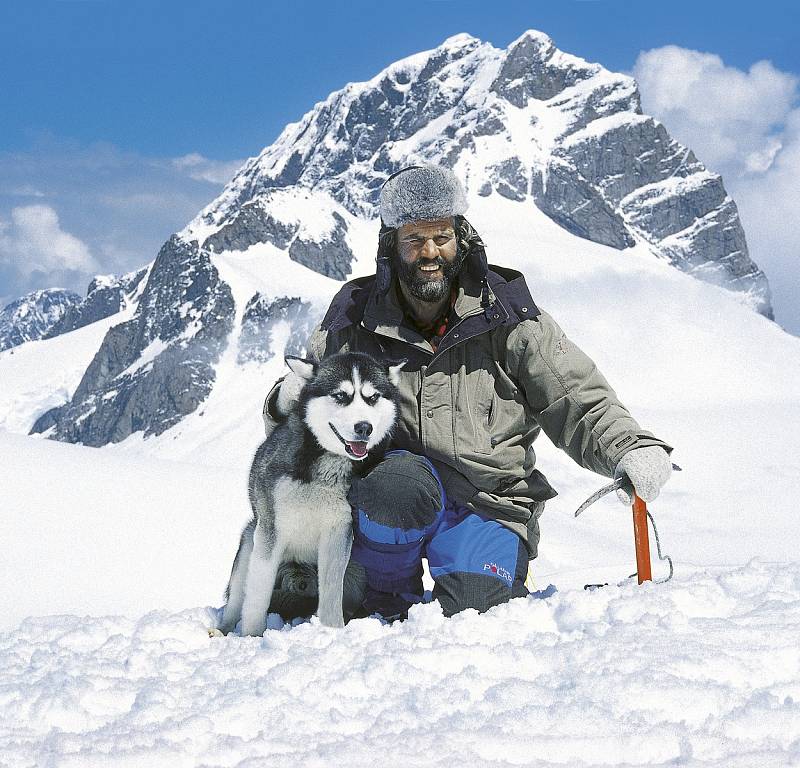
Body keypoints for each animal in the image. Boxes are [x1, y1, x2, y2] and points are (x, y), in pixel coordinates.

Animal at [219, 352, 404, 632]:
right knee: (238, 599)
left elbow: (331, 591)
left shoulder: (338, 530)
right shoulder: (270, 530)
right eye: (340, 395)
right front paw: (252, 636)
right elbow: (256, 599)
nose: (364, 427)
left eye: (372, 397)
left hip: (357, 571)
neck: (327, 466)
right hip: (250, 541)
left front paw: (332, 630)